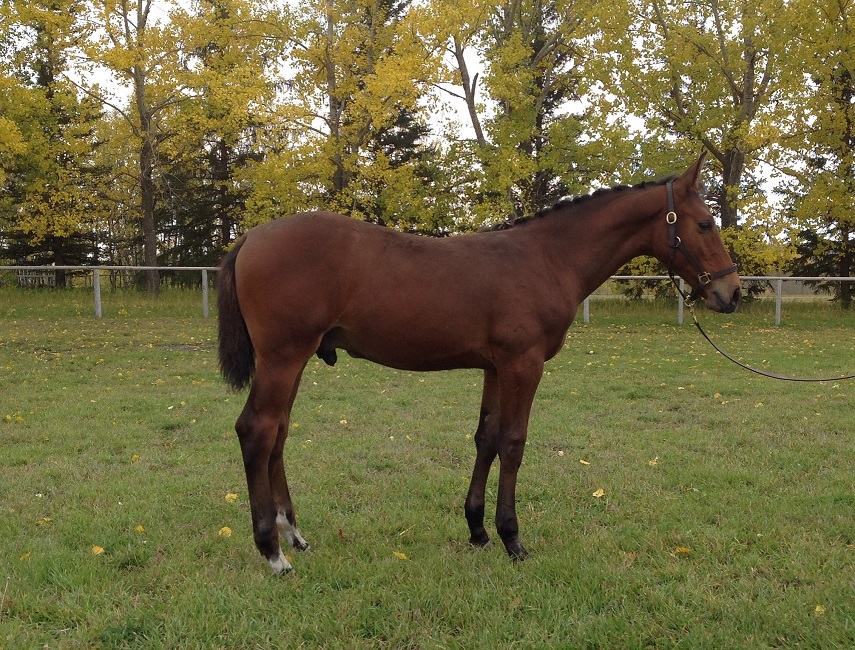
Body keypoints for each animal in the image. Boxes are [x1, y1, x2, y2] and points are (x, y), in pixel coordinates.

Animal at [217, 154, 740, 568]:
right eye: (705, 224)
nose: (731, 293)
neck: (547, 257)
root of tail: (250, 238)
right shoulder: (524, 365)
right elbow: (513, 443)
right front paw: (512, 539)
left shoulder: (495, 368)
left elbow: (486, 439)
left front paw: (478, 530)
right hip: (283, 359)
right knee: (257, 431)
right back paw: (271, 550)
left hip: (294, 360)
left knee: (279, 434)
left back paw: (293, 534)